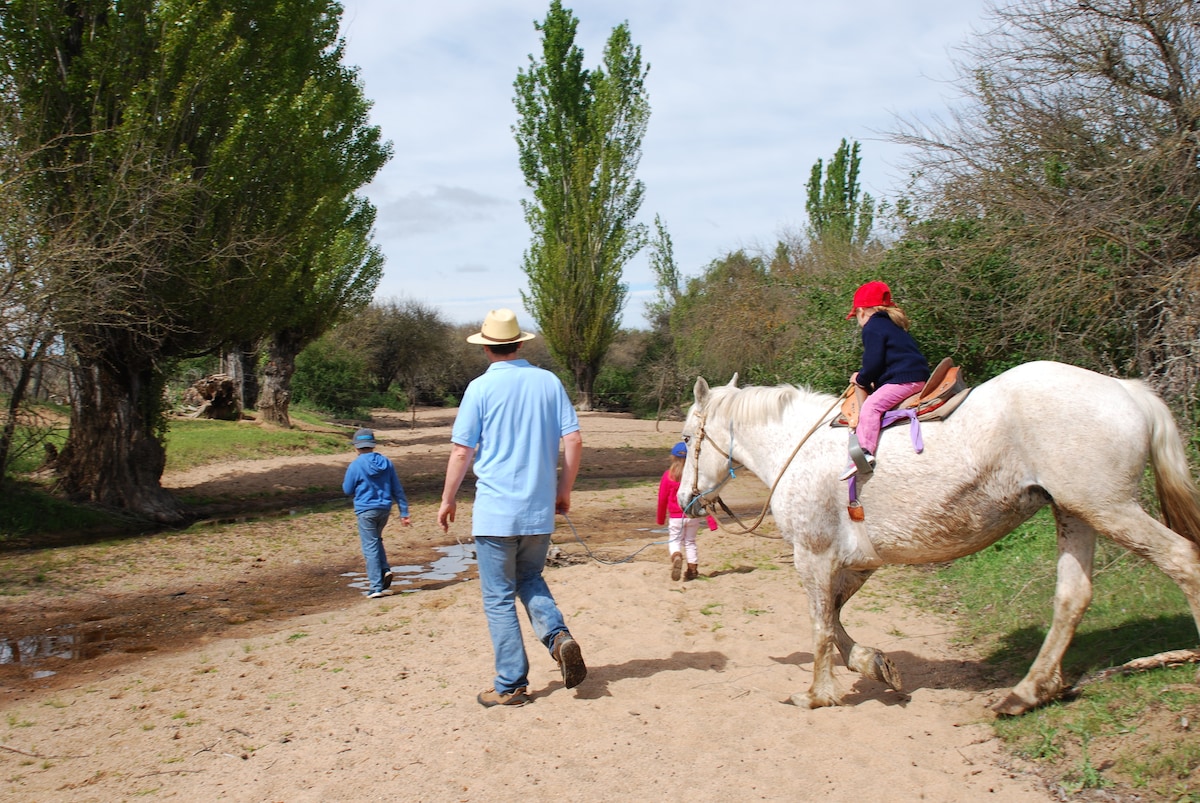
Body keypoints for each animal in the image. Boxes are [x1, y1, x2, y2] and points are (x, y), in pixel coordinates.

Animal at [681, 360, 1200, 710]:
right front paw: (872, 663)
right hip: (1076, 513)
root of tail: (1129, 391)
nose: (686, 498)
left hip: (1110, 509)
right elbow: (835, 617)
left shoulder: (814, 554)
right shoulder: (858, 561)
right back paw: (1028, 691)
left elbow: (821, 624)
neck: (798, 448)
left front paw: (817, 694)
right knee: (1073, 597)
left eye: (687, 439)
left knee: (1184, 561)